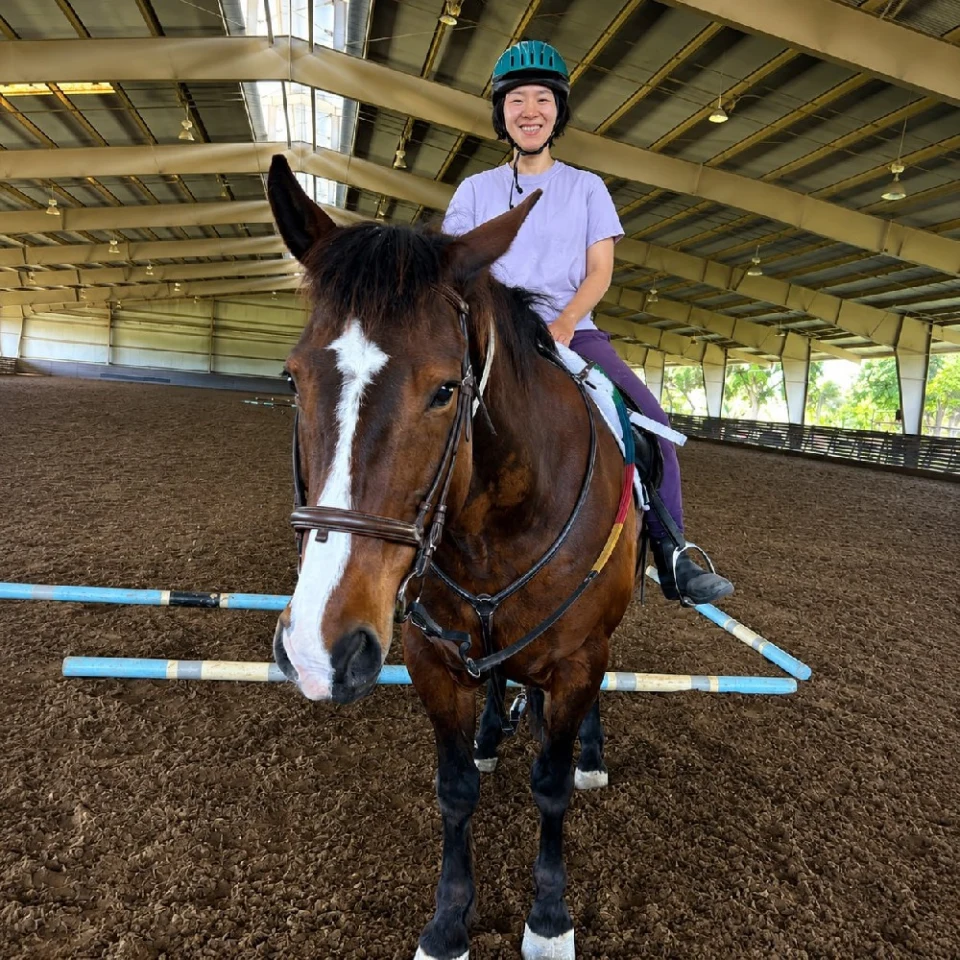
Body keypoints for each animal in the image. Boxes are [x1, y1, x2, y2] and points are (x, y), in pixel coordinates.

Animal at [267, 153, 638, 960]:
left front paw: (549, 918)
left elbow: (550, 786)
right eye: (293, 378)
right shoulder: (430, 657)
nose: (317, 650)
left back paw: (588, 752)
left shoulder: (576, 661)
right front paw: (447, 924)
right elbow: (456, 787)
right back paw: (495, 729)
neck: (494, 523)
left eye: (444, 388)